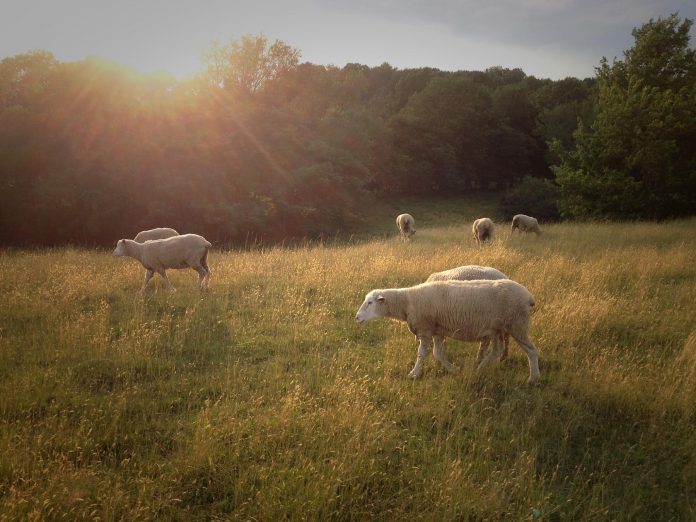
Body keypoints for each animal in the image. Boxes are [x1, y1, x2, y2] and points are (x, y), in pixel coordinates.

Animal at [355, 279, 540, 383]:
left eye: (370, 302)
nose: (357, 317)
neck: (407, 302)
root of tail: (529, 296)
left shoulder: (425, 329)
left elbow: (422, 353)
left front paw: (414, 374)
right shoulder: (437, 330)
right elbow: (437, 354)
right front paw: (454, 370)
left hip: (518, 324)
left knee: (531, 350)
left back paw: (533, 378)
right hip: (497, 329)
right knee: (497, 350)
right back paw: (479, 369)